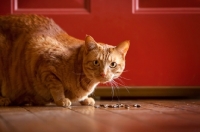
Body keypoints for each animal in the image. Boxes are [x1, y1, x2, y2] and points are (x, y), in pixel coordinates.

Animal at [0, 14, 130, 107]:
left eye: (113, 64)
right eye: (96, 62)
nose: (103, 73)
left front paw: (85, 100)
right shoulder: (45, 66)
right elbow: (57, 87)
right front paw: (61, 100)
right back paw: (5, 100)